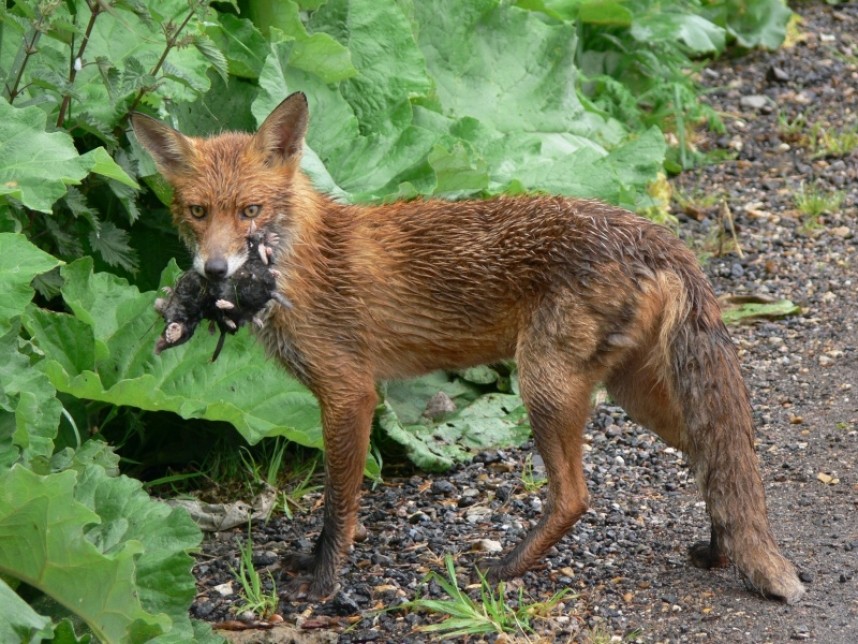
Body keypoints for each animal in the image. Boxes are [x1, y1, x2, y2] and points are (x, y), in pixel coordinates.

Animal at [131, 92, 805, 604]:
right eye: (198, 211)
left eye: (251, 210)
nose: (215, 271)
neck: (298, 263)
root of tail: (653, 232)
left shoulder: (349, 394)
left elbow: (338, 507)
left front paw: (323, 586)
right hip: (630, 391)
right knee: (713, 459)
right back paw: (720, 549)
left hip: (545, 385)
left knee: (577, 497)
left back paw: (505, 569)